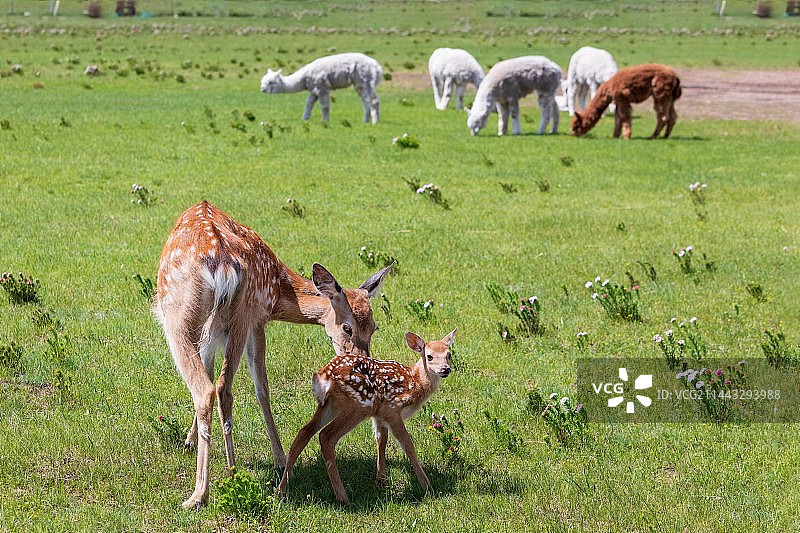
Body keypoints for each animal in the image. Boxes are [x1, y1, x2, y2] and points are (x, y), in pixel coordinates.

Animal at [152, 200, 392, 509]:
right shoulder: (248, 320)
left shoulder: (251, 319)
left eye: (373, 327)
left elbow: (257, 387)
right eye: (347, 327)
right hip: (228, 314)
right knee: (220, 387)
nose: (362, 363)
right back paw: (224, 475)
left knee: (210, 388)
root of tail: (222, 265)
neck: (278, 292)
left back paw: (201, 493)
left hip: (185, 317)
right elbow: (243, 380)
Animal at [278, 328, 457, 506]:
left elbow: (381, 440)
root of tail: (324, 376)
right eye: (429, 356)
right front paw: (427, 486)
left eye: (449, 354)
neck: (414, 382)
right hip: (360, 404)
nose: (445, 369)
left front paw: (381, 481)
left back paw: (282, 490)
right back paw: (343, 497)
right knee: (326, 436)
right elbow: (407, 444)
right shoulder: (392, 409)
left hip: (330, 405)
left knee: (304, 432)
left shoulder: (379, 416)